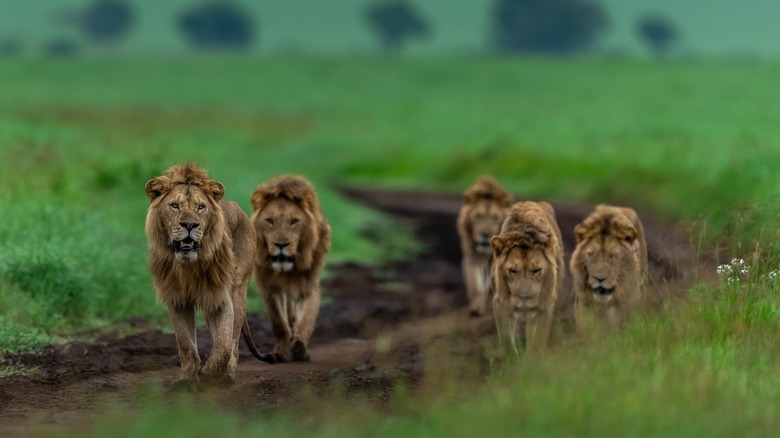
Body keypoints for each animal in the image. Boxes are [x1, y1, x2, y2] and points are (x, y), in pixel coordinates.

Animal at [145, 163, 275, 391]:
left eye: (200, 207)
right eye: (175, 205)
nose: (190, 225)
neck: (188, 266)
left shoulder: (221, 298)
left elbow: (224, 345)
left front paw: (209, 375)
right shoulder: (177, 299)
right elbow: (186, 345)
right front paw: (188, 380)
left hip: (238, 291)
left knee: (233, 342)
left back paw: (226, 376)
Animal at [250, 175, 331, 363]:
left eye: (294, 222)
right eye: (270, 221)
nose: (281, 245)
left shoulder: (308, 285)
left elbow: (306, 319)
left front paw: (300, 348)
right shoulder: (270, 286)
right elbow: (279, 323)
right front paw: (281, 351)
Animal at [456, 176, 513, 317]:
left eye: (495, 218)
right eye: (478, 216)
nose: (485, 234)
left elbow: (490, 285)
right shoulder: (472, 257)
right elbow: (475, 284)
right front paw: (476, 308)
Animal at [490, 201, 565, 355]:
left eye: (536, 270)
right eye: (512, 271)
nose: (524, 298)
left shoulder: (545, 305)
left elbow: (538, 341)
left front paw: (533, 360)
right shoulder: (500, 303)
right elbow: (506, 340)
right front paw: (509, 358)